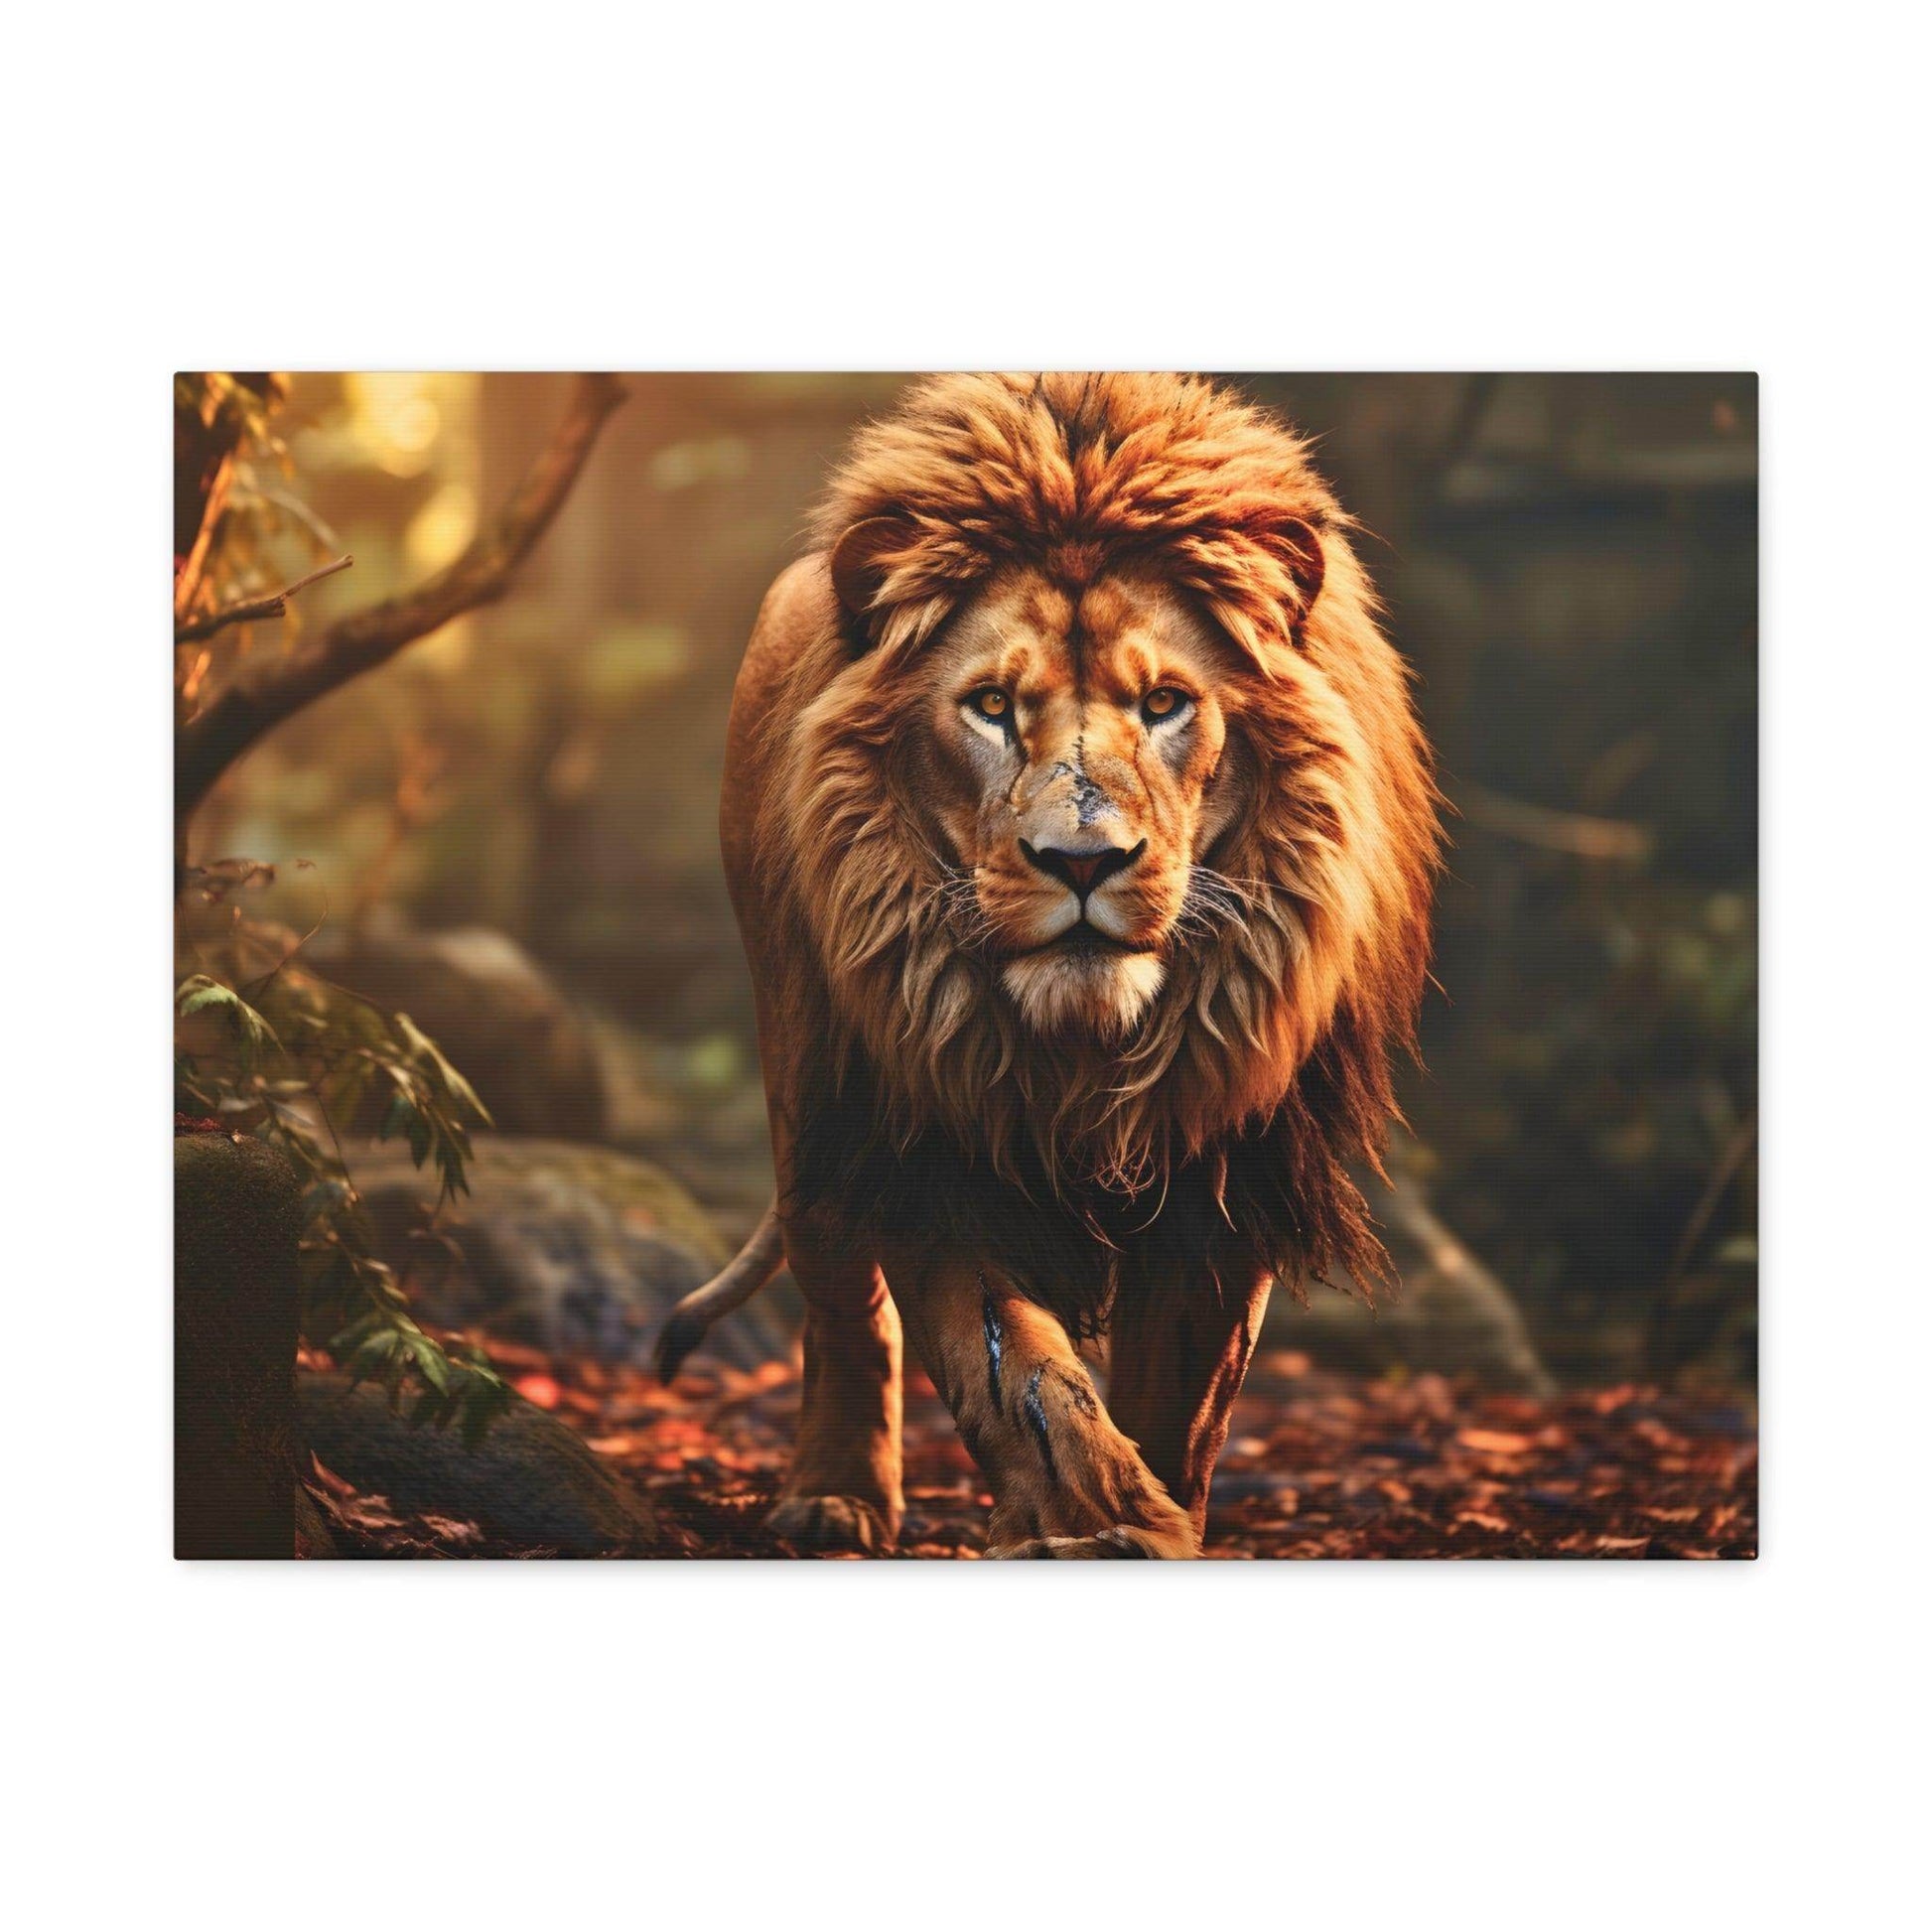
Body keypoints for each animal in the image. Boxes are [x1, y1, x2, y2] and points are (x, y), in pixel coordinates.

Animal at [656, 373, 1440, 1556]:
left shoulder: (1228, 1162)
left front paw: (1155, 1520)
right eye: (991, 705)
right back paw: (833, 1496)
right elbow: (1016, 1376)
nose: (1082, 859)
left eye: (1163, 703)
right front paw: (1090, 1518)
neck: (1086, 1050)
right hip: (807, 1076)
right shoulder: (931, 1134)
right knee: (840, 1295)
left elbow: (1180, 1404)